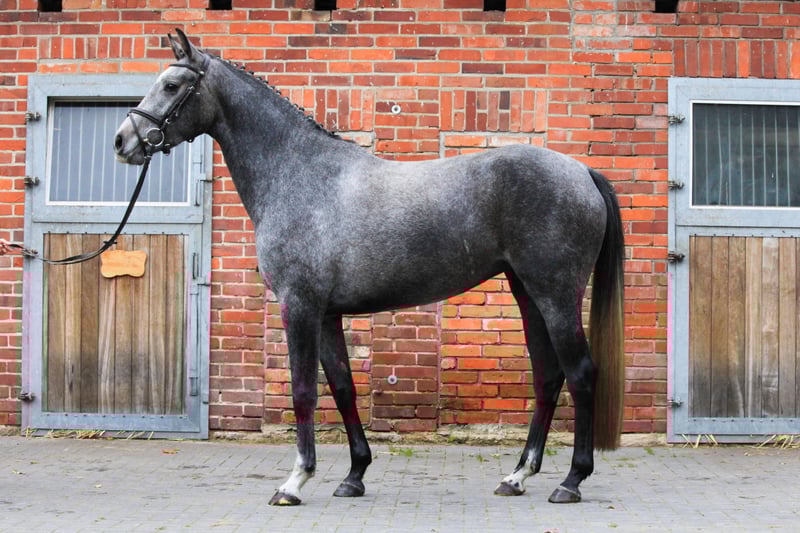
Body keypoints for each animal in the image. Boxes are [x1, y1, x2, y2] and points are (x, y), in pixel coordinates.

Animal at [114, 30, 625, 506]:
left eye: (172, 85)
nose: (123, 141)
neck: (301, 175)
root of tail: (581, 172)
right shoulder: (326, 314)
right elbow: (342, 387)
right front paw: (354, 475)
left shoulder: (299, 307)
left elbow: (304, 390)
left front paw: (294, 482)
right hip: (527, 293)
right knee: (548, 376)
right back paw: (517, 476)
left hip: (555, 294)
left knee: (580, 373)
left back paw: (571, 481)